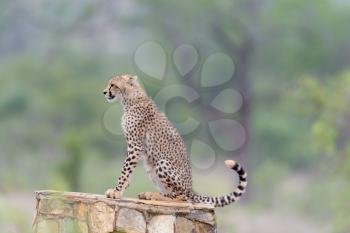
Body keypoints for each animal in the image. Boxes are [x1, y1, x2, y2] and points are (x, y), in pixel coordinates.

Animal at [102, 74, 247, 208]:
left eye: (113, 85)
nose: (104, 92)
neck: (130, 99)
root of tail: (191, 190)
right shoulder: (134, 147)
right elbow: (128, 170)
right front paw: (120, 191)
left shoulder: (135, 146)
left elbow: (125, 170)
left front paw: (116, 192)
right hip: (150, 167)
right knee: (171, 194)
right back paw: (151, 194)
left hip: (162, 163)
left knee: (181, 198)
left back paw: (153, 195)